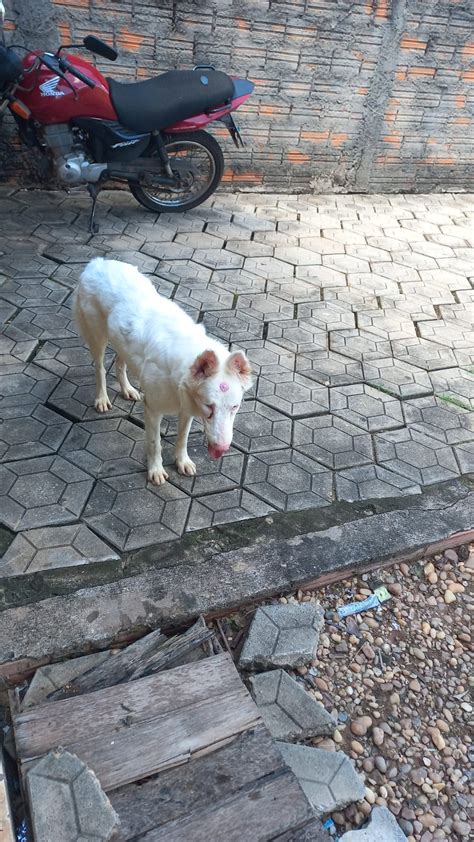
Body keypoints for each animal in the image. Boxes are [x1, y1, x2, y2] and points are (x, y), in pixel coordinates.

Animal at [74, 256, 252, 482]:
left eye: (235, 407)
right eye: (209, 406)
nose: (221, 449)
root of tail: (97, 262)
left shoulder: (187, 407)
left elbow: (182, 437)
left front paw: (182, 461)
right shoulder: (153, 409)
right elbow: (155, 443)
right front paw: (156, 470)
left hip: (122, 339)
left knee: (120, 363)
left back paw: (127, 389)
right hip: (97, 337)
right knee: (99, 368)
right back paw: (102, 398)